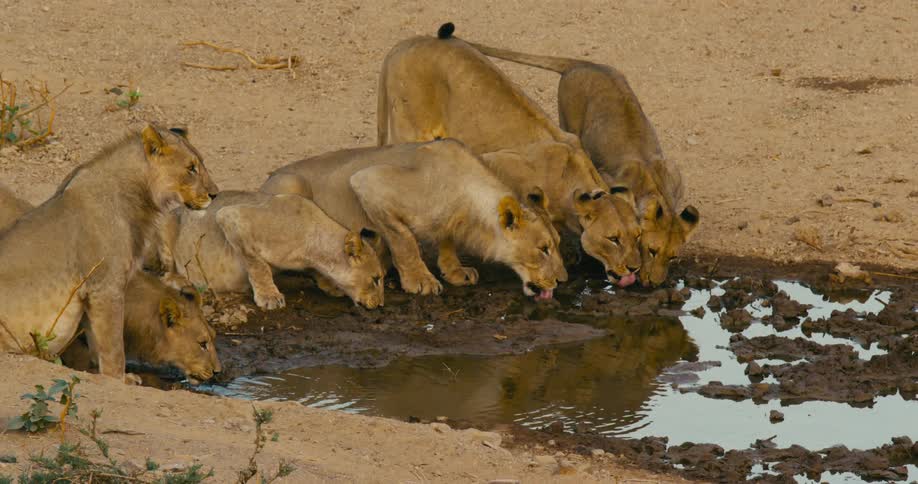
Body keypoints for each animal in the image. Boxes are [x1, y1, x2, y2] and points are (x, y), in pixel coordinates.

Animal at [157, 190, 385, 310]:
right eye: (376, 279)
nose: (381, 304)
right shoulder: (232, 216)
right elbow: (257, 264)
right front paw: (269, 297)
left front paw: (331, 285)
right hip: (164, 224)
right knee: (164, 274)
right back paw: (182, 282)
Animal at [261, 139, 567, 298]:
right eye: (543, 249)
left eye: (558, 243)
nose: (563, 281)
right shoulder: (370, 182)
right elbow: (404, 240)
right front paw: (420, 281)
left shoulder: (449, 221)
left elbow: (446, 240)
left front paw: (455, 271)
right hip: (291, 189)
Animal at [462, 35, 701, 286]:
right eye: (651, 250)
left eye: (672, 257)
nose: (653, 284)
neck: (654, 186)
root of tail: (582, 63)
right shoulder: (607, 178)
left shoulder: (674, 174)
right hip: (569, 123)